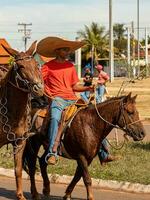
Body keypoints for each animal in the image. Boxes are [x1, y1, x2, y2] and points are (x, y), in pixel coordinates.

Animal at [0, 42, 44, 200]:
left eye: (36, 65)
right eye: (20, 67)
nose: (38, 88)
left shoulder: (20, 141)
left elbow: (18, 169)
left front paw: (20, 195)